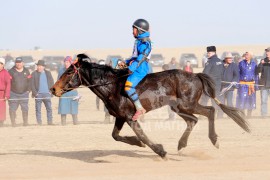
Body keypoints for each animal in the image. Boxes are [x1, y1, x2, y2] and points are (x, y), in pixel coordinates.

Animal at [51, 53, 251, 158]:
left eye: (69, 72)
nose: (53, 89)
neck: (111, 86)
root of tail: (195, 75)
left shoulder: (130, 117)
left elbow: (143, 135)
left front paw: (159, 150)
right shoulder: (120, 117)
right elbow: (116, 136)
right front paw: (137, 143)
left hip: (187, 104)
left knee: (209, 111)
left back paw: (214, 139)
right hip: (179, 108)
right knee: (193, 121)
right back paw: (181, 144)